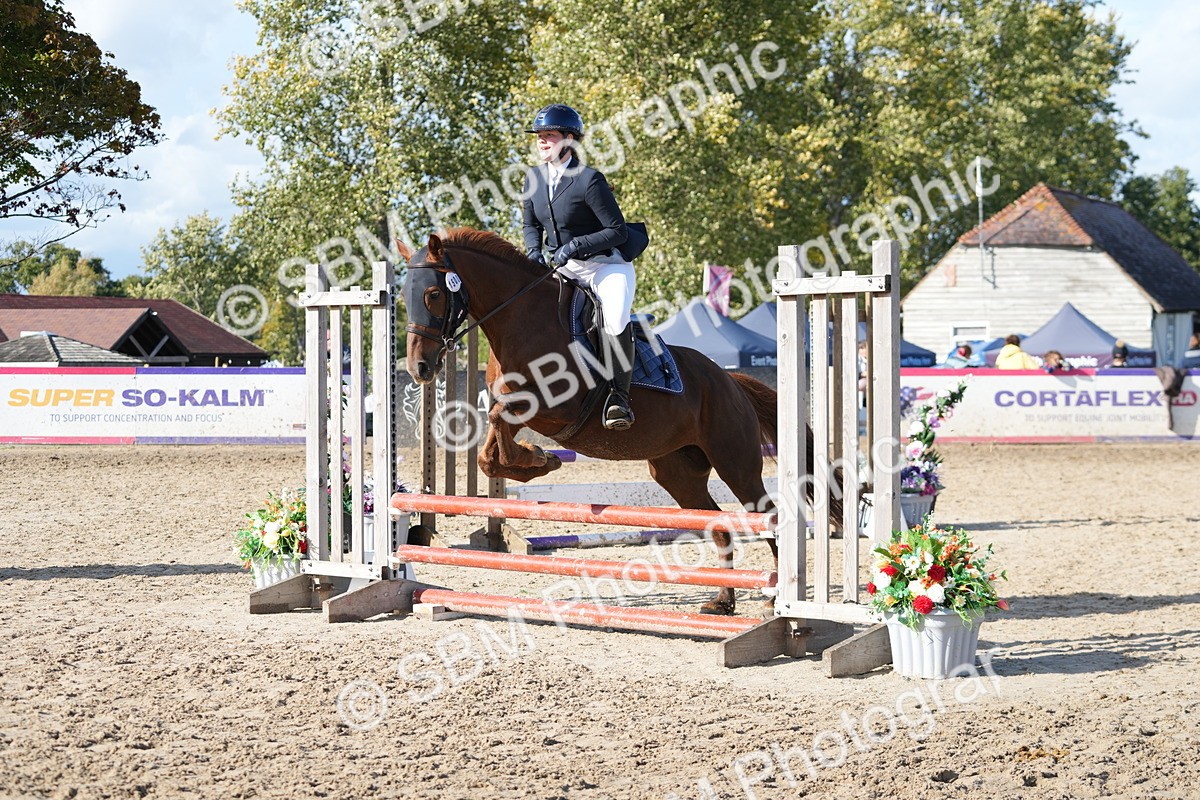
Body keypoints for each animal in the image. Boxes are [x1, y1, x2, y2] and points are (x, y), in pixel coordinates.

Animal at [399, 228, 840, 615]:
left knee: (767, 513)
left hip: (736, 463)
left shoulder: (553, 409)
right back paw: (722, 601)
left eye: (434, 294)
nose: (419, 368)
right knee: (717, 524)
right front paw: (538, 461)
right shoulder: (513, 409)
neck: (521, 320)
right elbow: (490, 454)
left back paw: (773, 599)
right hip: (678, 473)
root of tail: (730, 381)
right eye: (403, 295)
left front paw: (541, 460)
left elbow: (497, 432)